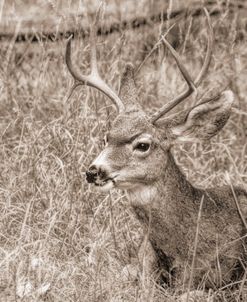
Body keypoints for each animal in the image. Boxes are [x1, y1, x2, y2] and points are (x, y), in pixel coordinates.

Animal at [65, 7, 247, 300]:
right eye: (106, 136)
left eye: (142, 144)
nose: (94, 171)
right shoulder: (139, 262)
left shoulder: (225, 281)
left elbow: (191, 294)